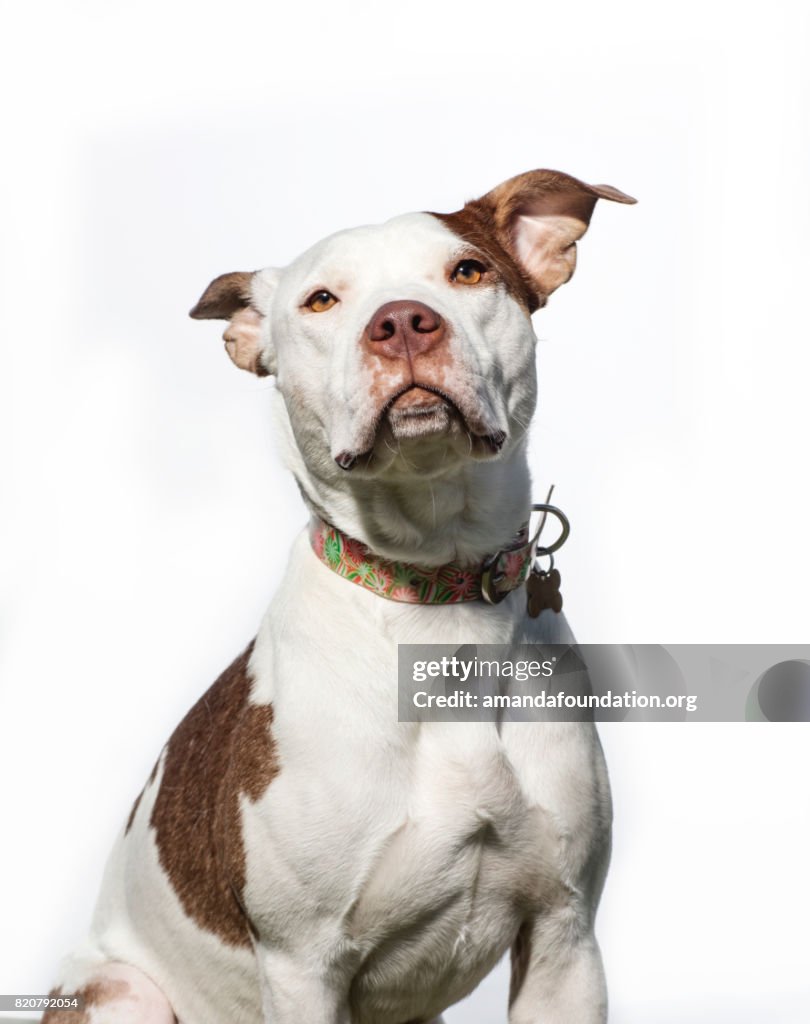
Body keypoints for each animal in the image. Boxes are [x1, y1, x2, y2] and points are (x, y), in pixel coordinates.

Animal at [45, 167, 634, 1024]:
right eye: (321, 301)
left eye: (469, 271)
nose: (403, 322)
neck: (435, 602)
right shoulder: (304, 966)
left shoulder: (565, 938)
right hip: (119, 991)